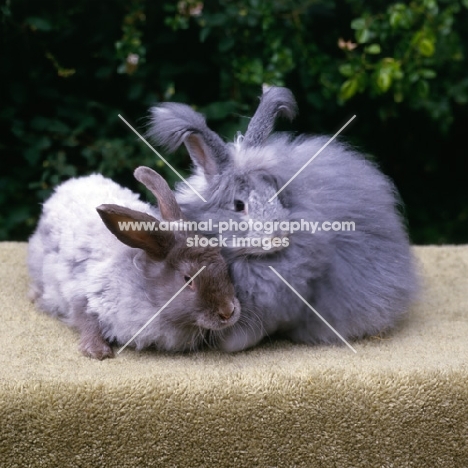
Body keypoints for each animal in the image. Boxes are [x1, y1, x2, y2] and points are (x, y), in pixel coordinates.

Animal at [28, 166, 241, 360]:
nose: (228, 312)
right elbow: (86, 321)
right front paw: (97, 351)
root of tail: (69, 184)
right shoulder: (83, 295)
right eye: (188, 279)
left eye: (223, 264)